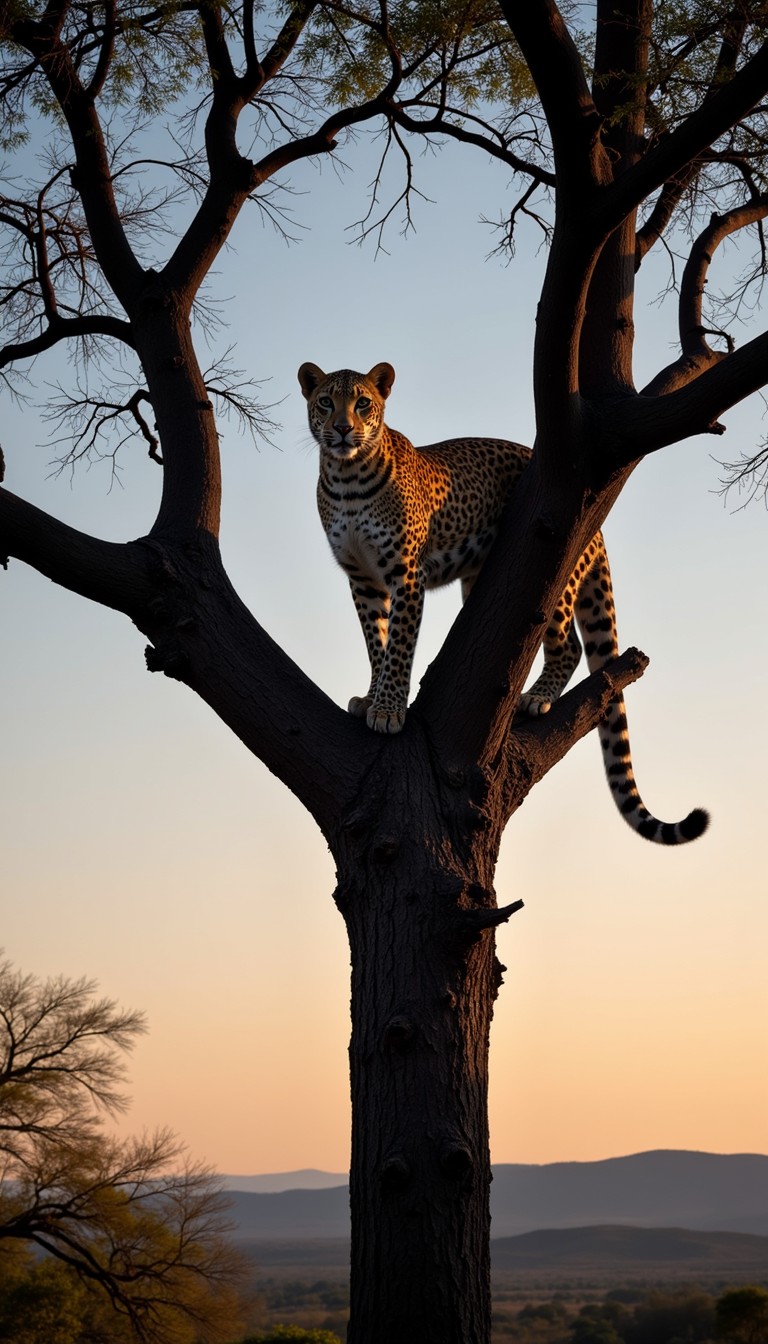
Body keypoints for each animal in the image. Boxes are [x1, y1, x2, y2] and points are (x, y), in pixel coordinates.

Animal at [298, 359, 709, 845]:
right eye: (326, 402)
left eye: (363, 403)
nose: (343, 429)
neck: (346, 479)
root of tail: (597, 524)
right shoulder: (363, 581)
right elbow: (376, 645)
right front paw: (372, 698)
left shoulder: (406, 574)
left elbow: (398, 646)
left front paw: (388, 709)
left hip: (558, 575)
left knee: (569, 645)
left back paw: (536, 697)